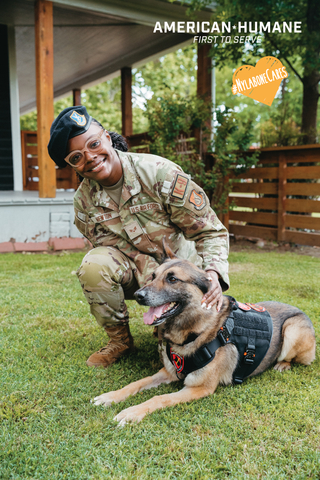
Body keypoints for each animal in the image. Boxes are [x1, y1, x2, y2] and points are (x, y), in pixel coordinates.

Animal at [94, 242, 316, 426]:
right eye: (153, 276)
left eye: (172, 279)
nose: (138, 295)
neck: (194, 332)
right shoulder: (167, 372)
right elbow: (136, 383)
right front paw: (111, 396)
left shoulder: (197, 388)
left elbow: (159, 398)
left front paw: (131, 412)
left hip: (292, 329)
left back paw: (282, 364)